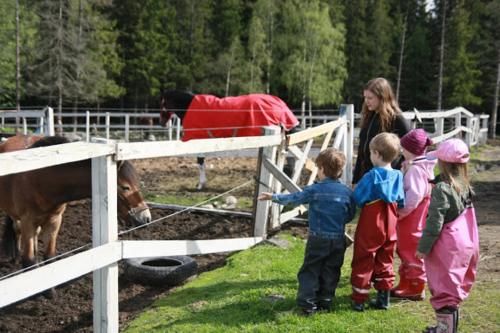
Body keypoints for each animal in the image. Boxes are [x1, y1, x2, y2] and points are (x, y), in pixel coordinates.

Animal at [1, 135, 150, 268]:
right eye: (126, 187)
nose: (146, 218)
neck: (39, 178)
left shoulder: (54, 220)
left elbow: (49, 257)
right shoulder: (27, 221)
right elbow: (29, 261)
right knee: (17, 229)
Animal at [160, 91, 298, 188]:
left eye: (162, 104)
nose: (162, 123)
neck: (189, 107)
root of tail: (280, 104)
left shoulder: (197, 140)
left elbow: (200, 162)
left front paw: (200, 184)